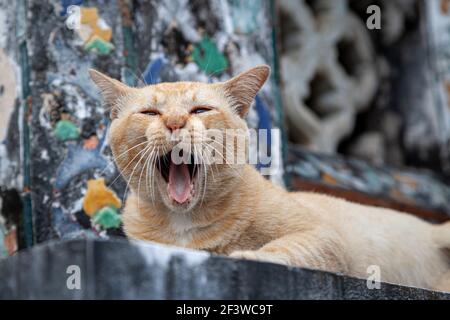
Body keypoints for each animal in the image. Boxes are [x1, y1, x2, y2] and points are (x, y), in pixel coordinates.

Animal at [89, 65, 450, 292]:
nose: (175, 122)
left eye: (200, 110)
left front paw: (246, 255)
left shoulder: (321, 236)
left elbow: (280, 250)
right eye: (150, 113)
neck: (182, 225)